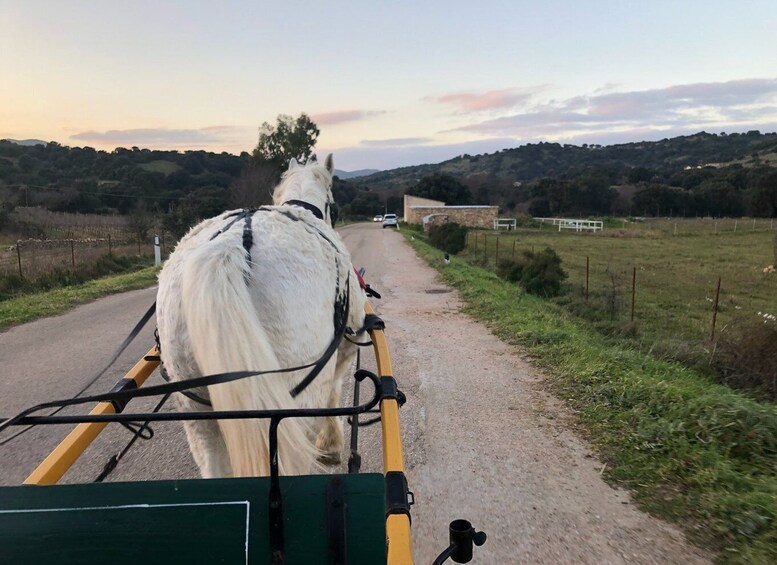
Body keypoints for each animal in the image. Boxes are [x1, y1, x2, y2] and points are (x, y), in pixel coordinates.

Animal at [158, 156, 366, 478]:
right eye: (333, 202)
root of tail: (229, 248)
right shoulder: (341, 354)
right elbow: (335, 392)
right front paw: (330, 447)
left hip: (194, 406)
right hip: (296, 401)